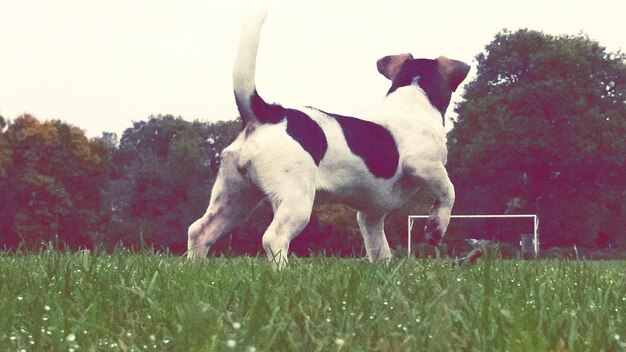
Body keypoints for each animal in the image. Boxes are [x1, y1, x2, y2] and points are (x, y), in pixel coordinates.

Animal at [186, 6, 468, 268]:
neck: (411, 99)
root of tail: (268, 114)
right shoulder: (424, 165)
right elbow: (449, 192)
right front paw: (435, 229)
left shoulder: (370, 215)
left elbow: (378, 248)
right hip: (295, 199)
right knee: (274, 237)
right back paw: (283, 275)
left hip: (235, 197)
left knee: (199, 231)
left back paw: (194, 268)